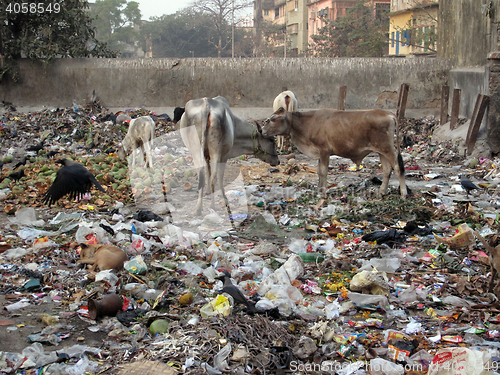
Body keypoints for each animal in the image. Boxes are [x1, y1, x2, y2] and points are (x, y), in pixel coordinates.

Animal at [262, 108, 406, 201]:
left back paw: (404, 194)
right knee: (387, 170)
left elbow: (323, 171)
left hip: (387, 148)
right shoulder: (319, 153)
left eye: (273, 119)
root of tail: (388, 113)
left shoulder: (324, 151)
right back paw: (381, 192)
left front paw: (323, 194)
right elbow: (319, 172)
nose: (262, 129)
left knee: (398, 167)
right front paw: (319, 191)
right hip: (382, 150)